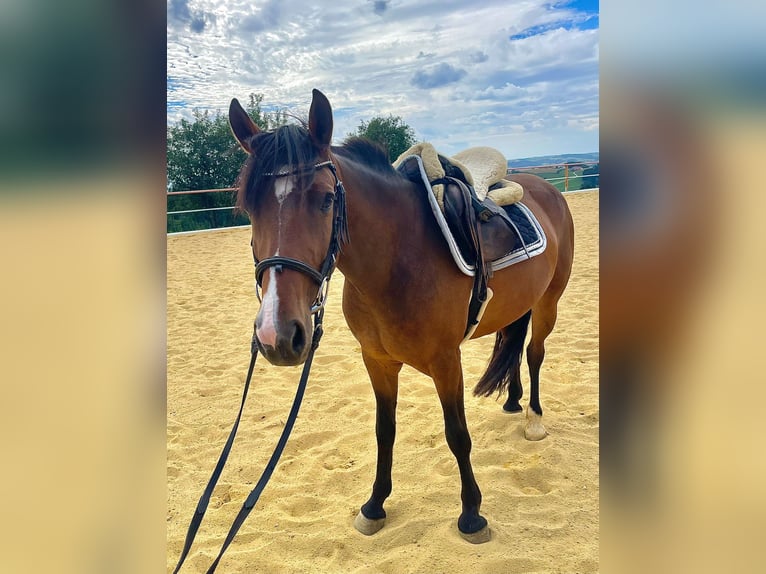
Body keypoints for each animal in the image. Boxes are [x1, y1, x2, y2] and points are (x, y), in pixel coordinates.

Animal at [227, 89, 574, 543]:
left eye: (326, 199)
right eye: (249, 207)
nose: (277, 336)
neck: (397, 260)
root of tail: (544, 186)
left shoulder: (447, 362)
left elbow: (457, 435)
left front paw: (472, 514)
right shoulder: (377, 360)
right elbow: (384, 432)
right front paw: (375, 505)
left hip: (549, 301)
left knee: (534, 353)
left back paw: (533, 418)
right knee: (512, 344)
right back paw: (513, 401)